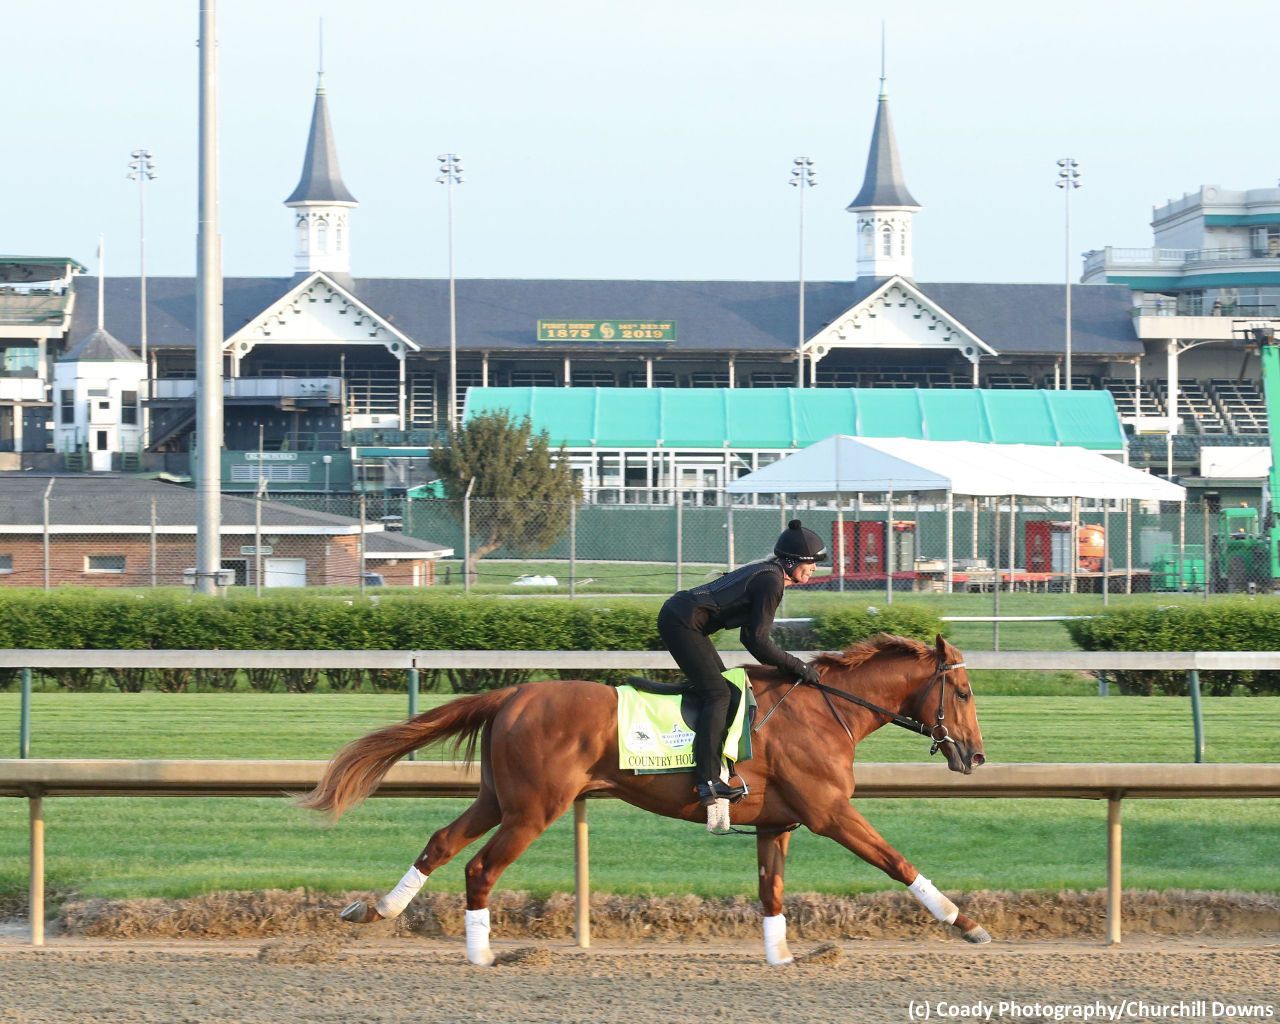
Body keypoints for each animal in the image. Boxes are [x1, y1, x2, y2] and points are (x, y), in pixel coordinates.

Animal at [299, 632, 988, 967]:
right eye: (963, 692)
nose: (977, 757)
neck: (827, 711)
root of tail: (512, 694)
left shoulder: (779, 825)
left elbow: (771, 892)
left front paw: (781, 957)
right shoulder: (830, 814)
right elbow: (896, 861)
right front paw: (967, 923)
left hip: (500, 799)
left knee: (442, 844)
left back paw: (375, 909)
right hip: (534, 809)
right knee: (479, 867)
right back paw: (482, 953)